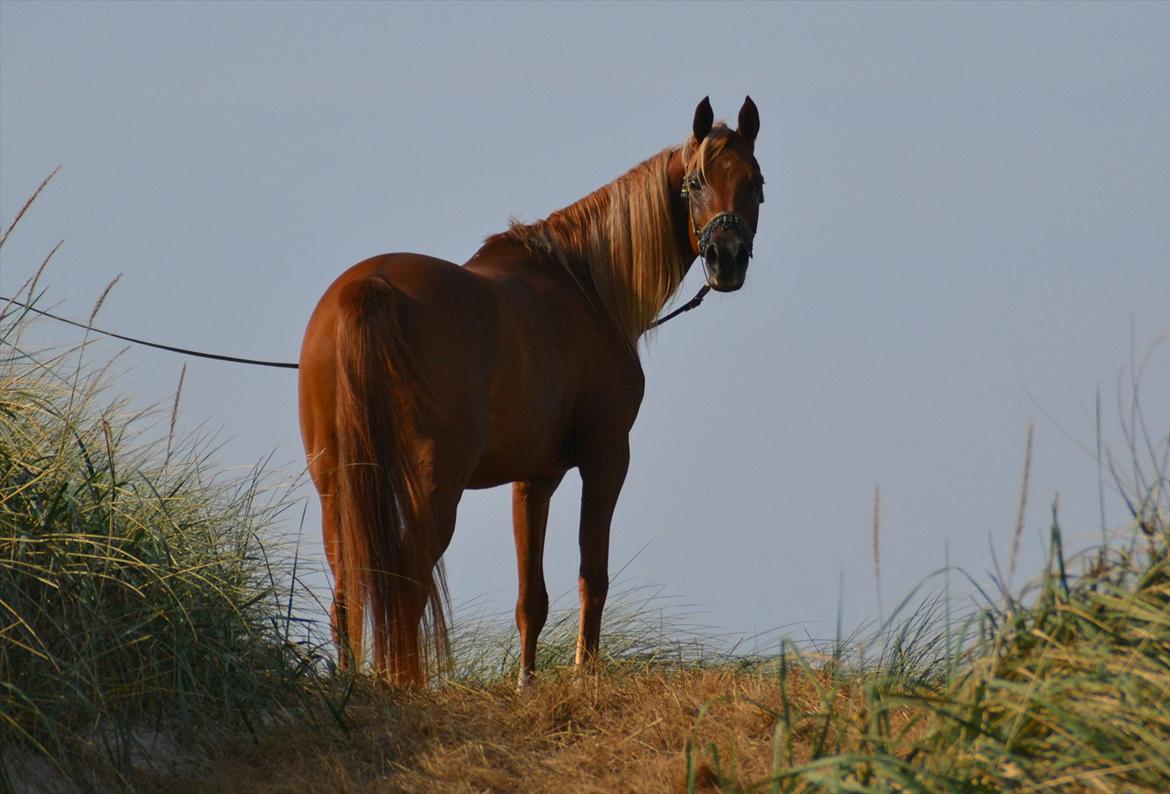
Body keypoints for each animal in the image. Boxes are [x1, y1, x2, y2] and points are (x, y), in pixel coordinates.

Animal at [297, 96, 762, 687]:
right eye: (697, 181)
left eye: (756, 182)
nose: (727, 258)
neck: (585, 286)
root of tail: (367, 287)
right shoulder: (606, 456)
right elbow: (593, 575)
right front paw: (584, 673)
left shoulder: (534, 477)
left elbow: (530, 598)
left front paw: (526, 681)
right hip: (432, 485)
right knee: (404, 582)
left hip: (337, 483)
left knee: (349, 585)